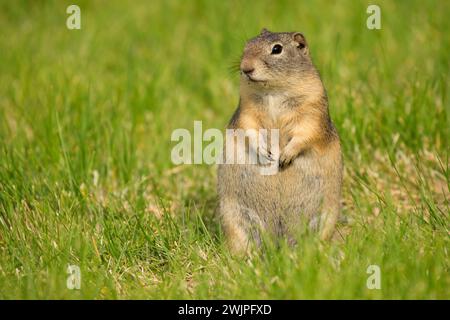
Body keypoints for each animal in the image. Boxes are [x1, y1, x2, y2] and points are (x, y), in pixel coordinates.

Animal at [217, 28, 342, 254]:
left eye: (277, 49)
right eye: (247, 45)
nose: (245, 67)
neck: (272, 91)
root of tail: (278, 244)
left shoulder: (313, 110)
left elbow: (306, 133)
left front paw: (284, 157)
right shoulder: (246, 110)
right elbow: (249, 128)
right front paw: (264, 153)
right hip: (236, 219)